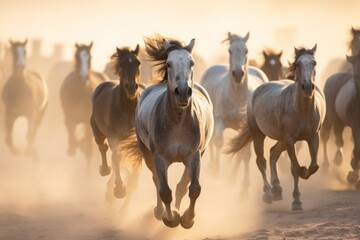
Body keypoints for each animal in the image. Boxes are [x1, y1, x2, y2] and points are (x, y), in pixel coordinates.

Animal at [90, 44, 144, 200]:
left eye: (138, 63)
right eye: (122, 64)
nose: (131, 87)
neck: (126, 108)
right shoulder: (113, 136)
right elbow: (116, 157)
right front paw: (119, 189)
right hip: (97, 131)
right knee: (103, 147)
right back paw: (104, 170)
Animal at [200, 31, 268, 189]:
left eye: (246, 51)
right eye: (230, 51)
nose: (238, 74)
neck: (237, 95)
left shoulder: (247, 127)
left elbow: (245, 154)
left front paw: (244, 186)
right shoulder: (219, 120)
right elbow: (218, 142)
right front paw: (215, 170)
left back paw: (233, 177)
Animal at [228, 45, 326, 210]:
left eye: (314, 63)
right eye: (298, 64)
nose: (307, 87)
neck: (302, 109)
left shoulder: (313, 137)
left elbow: (314, 166)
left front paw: (304, 171)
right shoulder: (290, 139)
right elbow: (294, 167)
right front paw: (297, 200)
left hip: (281, 140)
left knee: (273, 153)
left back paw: (277, 189)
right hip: (258, 134)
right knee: (261, 161)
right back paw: (268, 193)